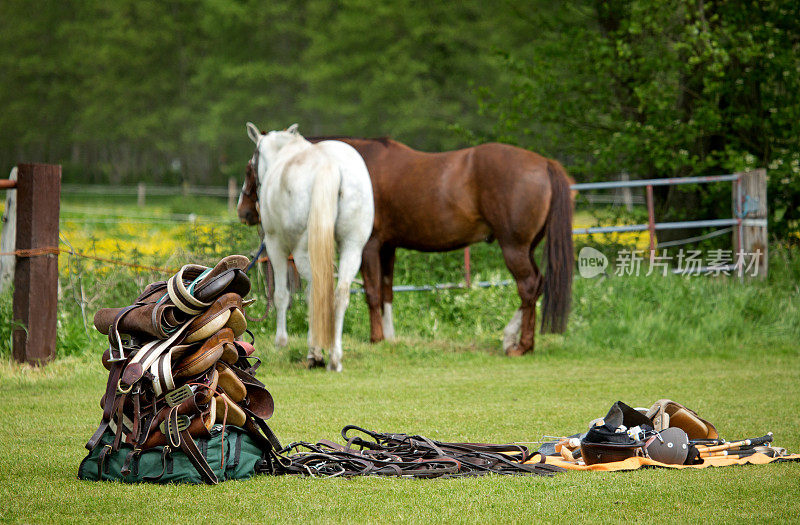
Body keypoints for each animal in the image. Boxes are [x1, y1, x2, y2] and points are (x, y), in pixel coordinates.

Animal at [239, 136, 576, 356]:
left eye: (249, 168)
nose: (244, 211)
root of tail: (545, 163)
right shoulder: (389, 247)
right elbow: (387, 291)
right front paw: (389, 337)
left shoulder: (370, 246)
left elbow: (373, 292)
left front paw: (375, 338)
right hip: (526, 247)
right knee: (537, 285)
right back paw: (512, 339)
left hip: (514, 247)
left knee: (528, 287)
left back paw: (521, 345)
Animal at [245, 122, 374, 370]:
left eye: (251, 165)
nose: (245, 211)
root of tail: (329, 165)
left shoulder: (275, 246)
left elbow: (281, 295)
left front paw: (281, 342)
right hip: (353, 248)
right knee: (339, 294)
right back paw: (334, 357)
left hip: (301, 251)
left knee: (315, 293)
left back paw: (315, 353)